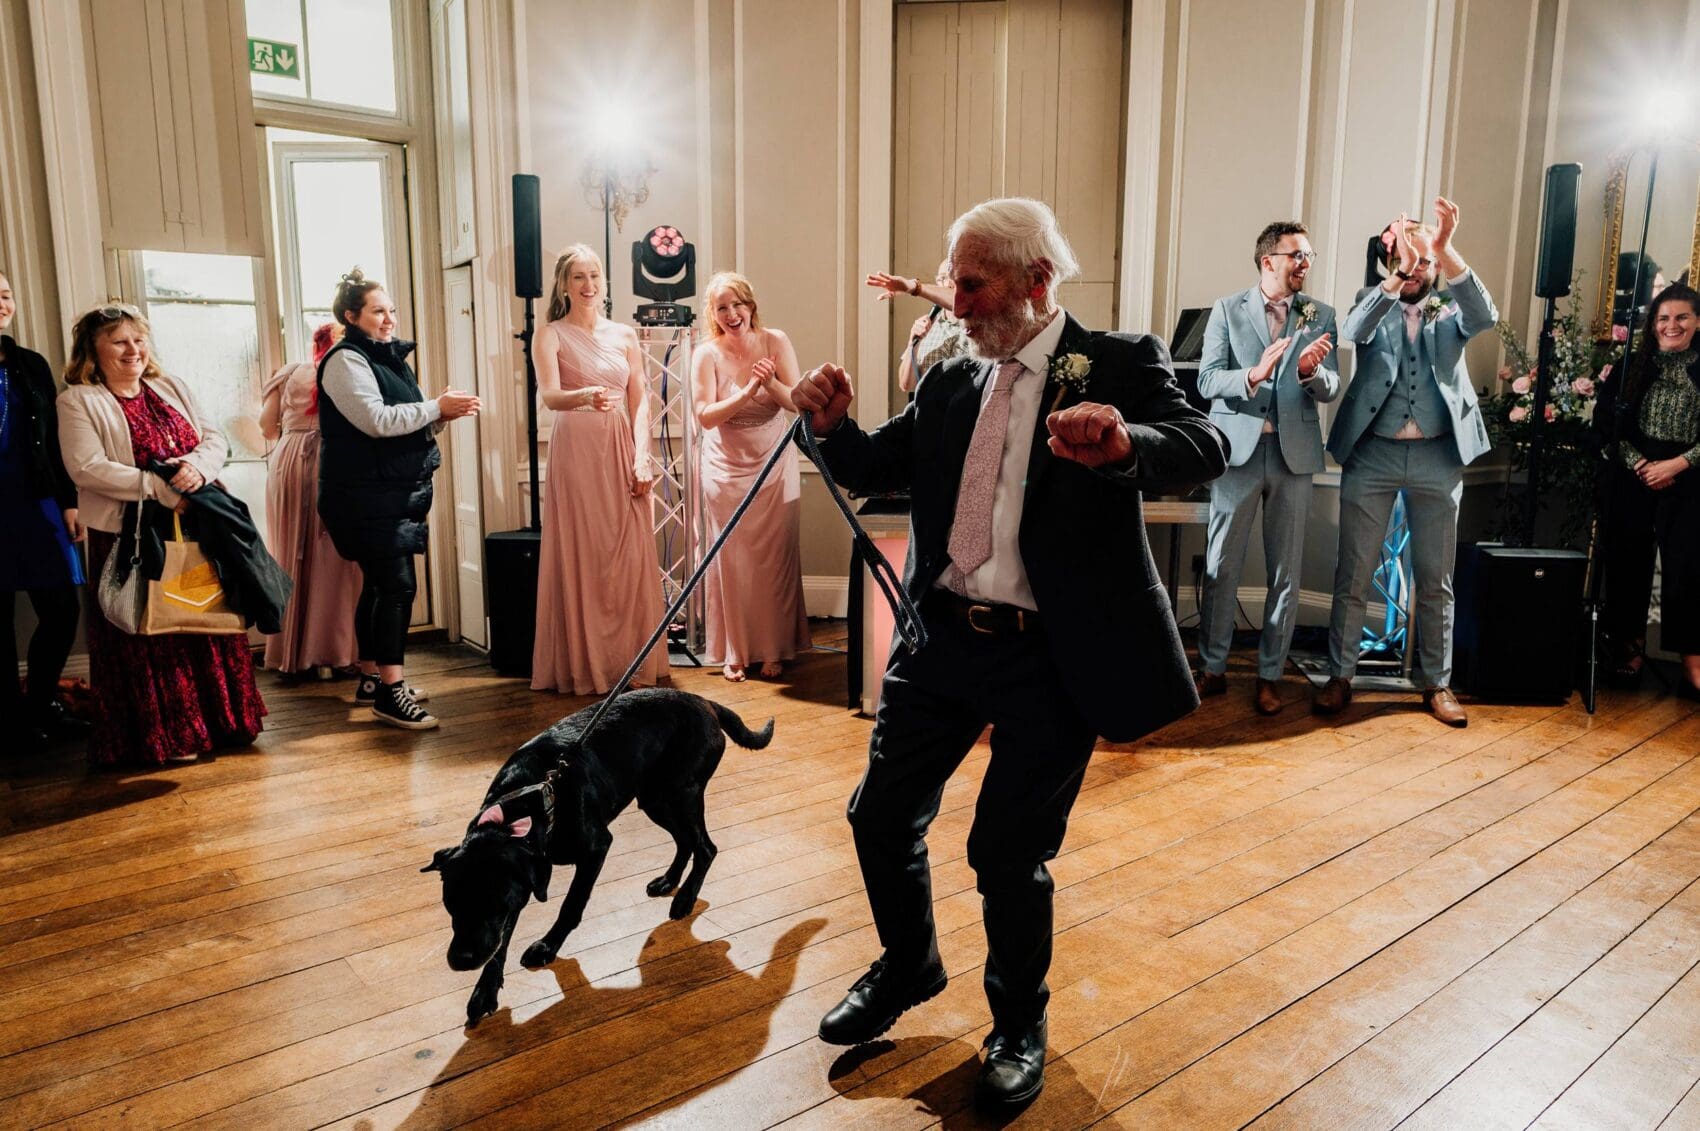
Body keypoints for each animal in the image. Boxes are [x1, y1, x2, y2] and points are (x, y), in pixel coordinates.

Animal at [421, 687, 775, 1020]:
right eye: (451, 902)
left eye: (495, 902)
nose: (461, 960)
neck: (530, 800)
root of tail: (705, 702)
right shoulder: (522, 884)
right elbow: (501, 940)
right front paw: (485, 990)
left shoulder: (594, 849)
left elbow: (570, 905)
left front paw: (547, 946)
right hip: (655, 798)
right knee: (685, 842)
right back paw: (668, 881)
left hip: (680, 792)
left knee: (705, 847)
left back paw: (685, 898)